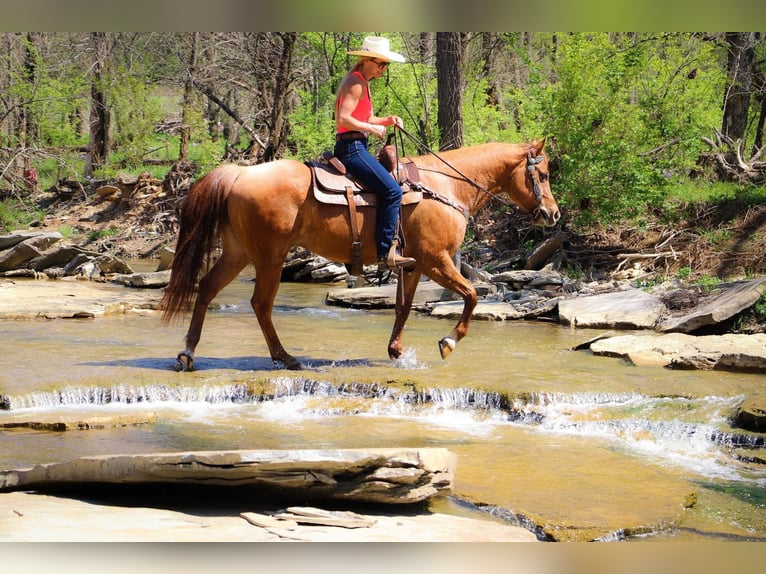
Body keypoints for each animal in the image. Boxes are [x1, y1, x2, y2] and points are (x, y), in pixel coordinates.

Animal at [159, 140, 560, 374]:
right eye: (541, 173)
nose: (553, 214)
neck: (445, 186)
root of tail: (238, 175)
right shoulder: (436, 260)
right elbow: (473, 295)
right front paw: (449, 342)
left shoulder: (415, 265)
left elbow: (403, 308)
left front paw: (396, 351)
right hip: (269, 256)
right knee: (260, 303)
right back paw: (285, 358)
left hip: (238, 252)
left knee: (207, 289)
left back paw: (188, 354)